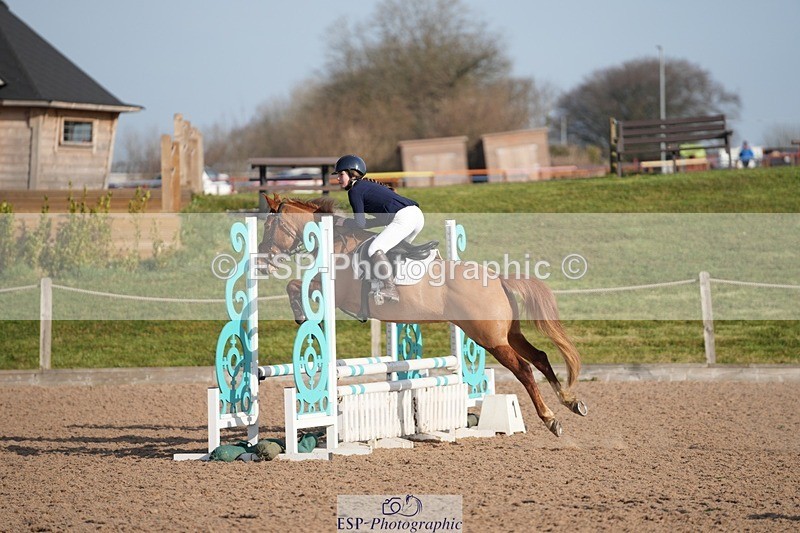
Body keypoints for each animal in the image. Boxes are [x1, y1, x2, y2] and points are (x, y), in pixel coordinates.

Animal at [257, 194, 587, 437]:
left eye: (269, 227)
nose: (262, 261)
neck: (335, 243)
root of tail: (498, 279)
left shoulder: (337, 293)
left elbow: (294, 285)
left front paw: (301, 314)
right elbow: (294, 284)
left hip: (490, 339)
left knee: (524, 369)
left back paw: (551, 418)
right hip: (508, 333)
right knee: (541, 357)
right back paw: (571, 403)